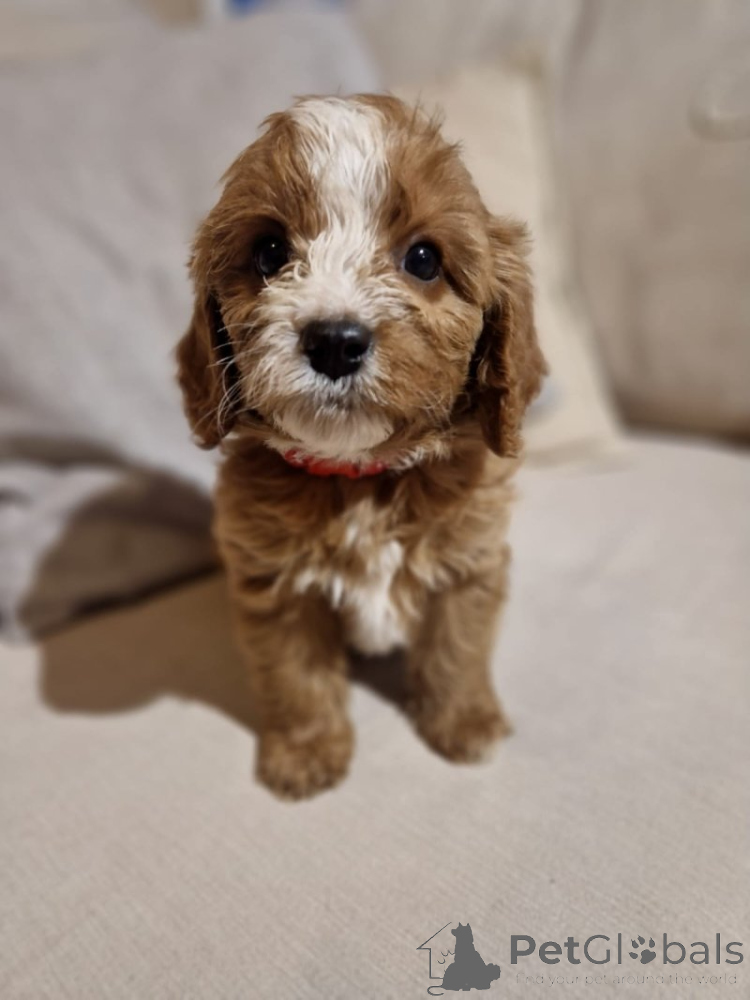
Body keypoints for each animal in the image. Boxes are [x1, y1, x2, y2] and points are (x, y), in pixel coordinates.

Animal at [176, 94, 545, 798]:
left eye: (424, 259)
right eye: (269, 252)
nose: (334, 341)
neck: (364, 475)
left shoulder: (470, 560)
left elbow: (458, 647)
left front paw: (465, 724)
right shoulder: (275, 583)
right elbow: (296, 675)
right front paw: (306, 755)